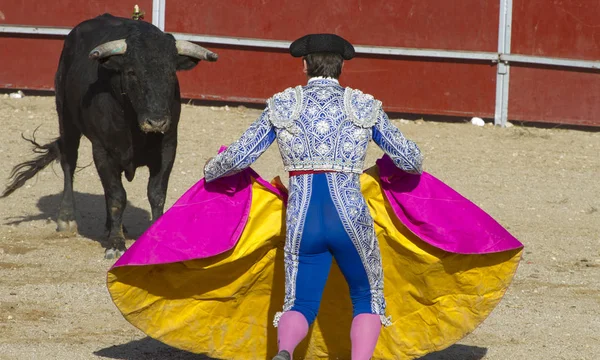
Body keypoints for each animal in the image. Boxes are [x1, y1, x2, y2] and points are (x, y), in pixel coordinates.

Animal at [1, 12, 218, 258]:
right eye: (132, 72)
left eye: (172, 74)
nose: (157, 121)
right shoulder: (102, 150)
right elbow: (117, 196)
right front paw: (116, 243)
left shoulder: (168, 148)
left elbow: (156, 194)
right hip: (66, 119)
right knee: (69, 164)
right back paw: (67, 218)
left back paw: (111, 226)